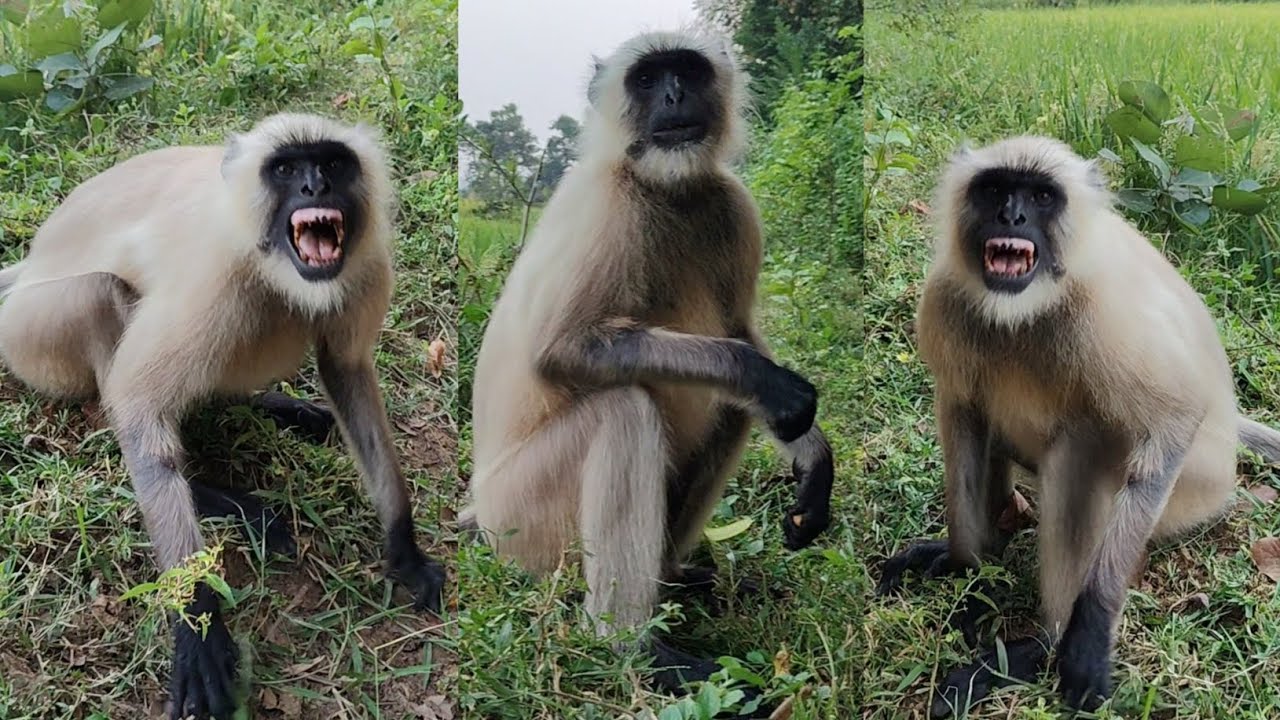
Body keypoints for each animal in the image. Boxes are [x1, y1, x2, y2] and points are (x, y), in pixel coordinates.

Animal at [0, 113, 447, 720]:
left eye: (332, 163)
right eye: (286, 169)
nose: (315, 188)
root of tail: (22, 273)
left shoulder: (365, 263)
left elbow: (347, 370)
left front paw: (403, 544)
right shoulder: (216, 278)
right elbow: (137, 402)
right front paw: (198, 624)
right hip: (29, 336)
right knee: (101, 309)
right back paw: (215, 495)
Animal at [459, 31, 835, 713]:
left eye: (685, 70)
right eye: (648, 78)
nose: (675, 96)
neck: (664, 187)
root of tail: (480, 511)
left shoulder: (731, 205)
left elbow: (743, 338)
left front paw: (811, 456)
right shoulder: (609, 207)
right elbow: (560, 350)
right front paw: (772, 384)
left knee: (727, 410)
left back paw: (676, 582)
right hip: (520, 521)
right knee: (625, 410)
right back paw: (632, 649)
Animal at [875, 135, 1280, 717]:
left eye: (1042, 196)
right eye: (995, 189)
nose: (1012, 215)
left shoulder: (1102, 316)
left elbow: (1174, 420)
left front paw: (1085, 633)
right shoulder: (948, 298)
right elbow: (962, 408)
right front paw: (963, 567)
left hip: (1188, 494)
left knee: (1080, 448)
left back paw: (1041, 644)